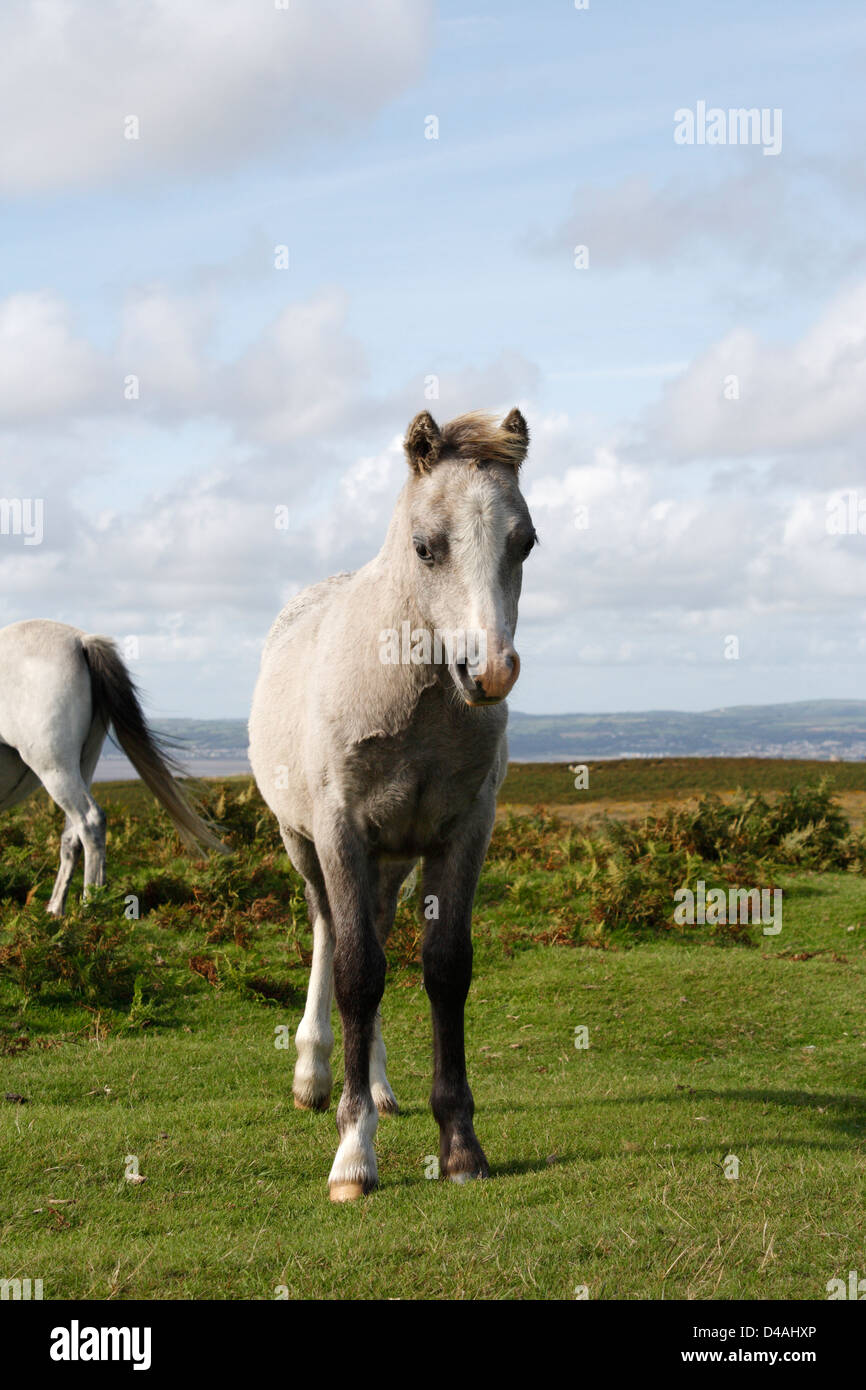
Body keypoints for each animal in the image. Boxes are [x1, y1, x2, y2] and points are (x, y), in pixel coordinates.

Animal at [0, 619, 223, 911]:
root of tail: (81, 641)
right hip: (83, 763)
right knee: (73, 835)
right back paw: (57, 911)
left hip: (55, 768)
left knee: (90, 821)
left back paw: (90, 905)